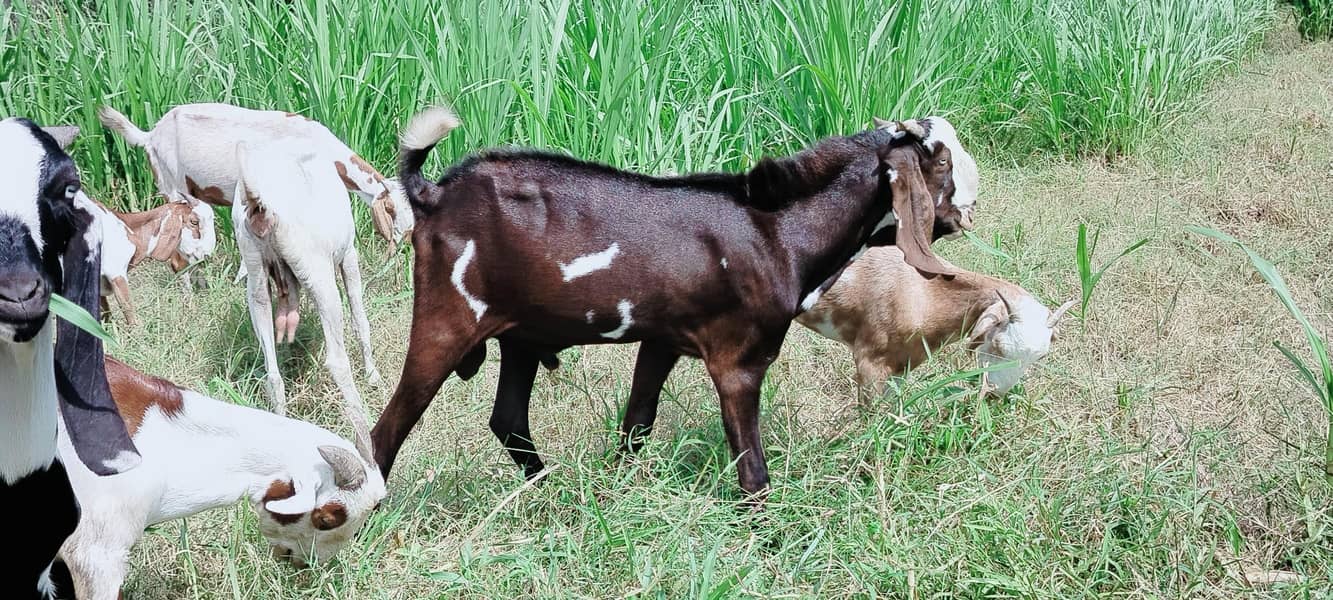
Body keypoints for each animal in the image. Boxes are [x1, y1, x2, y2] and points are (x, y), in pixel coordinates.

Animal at [233, 141, 382, 461]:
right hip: (319, 273)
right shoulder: (349, 255)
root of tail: (261, 206)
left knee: (272, 373)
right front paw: (373, 375)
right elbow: (360, 318)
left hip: (255, 275)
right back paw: (364, 425)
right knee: (337, 360)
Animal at [371, 107, 970, 500]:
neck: (777, 232)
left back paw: (553, 491)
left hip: (520, 335)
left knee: (509, 420)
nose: (968, 208)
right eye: (940, 164)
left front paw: (614, 494)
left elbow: (638, 421)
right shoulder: (739, 359)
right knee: (387, 429)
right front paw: (767, 533)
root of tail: (433, 194)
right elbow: (750, 465)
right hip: (447, 319)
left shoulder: (661, 339)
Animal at [797, 246, 1076, 403]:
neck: (924, 293)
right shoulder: (870, 360)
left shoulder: (902, 364)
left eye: (1040, 357)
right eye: (997, 345)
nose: (994, 393)